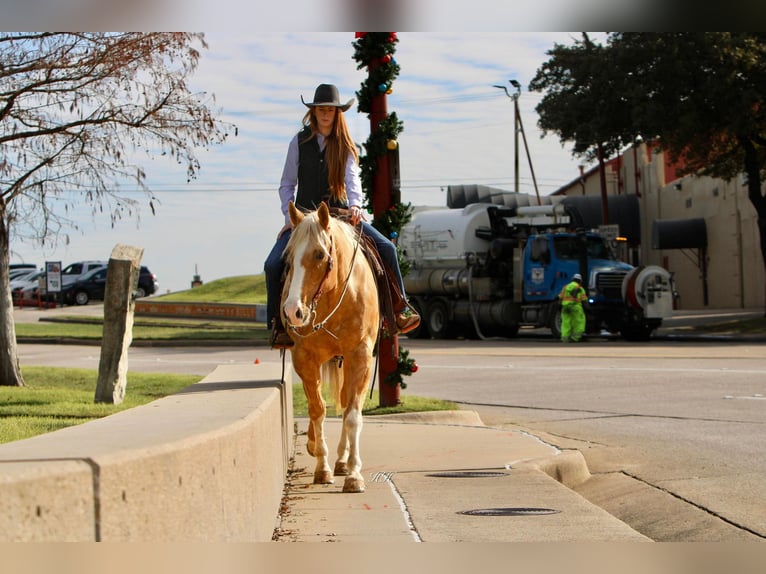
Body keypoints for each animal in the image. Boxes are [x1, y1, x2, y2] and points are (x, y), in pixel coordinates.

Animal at [282, 200, 380, 492]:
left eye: (319, 254)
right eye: (288, 257)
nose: (292, 312)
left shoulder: (361, 355)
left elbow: (352, 414)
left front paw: (354, 475)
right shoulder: (304, 358)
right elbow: (317, 410)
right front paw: (321, 466)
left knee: (347, 402)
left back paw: (343, 460)